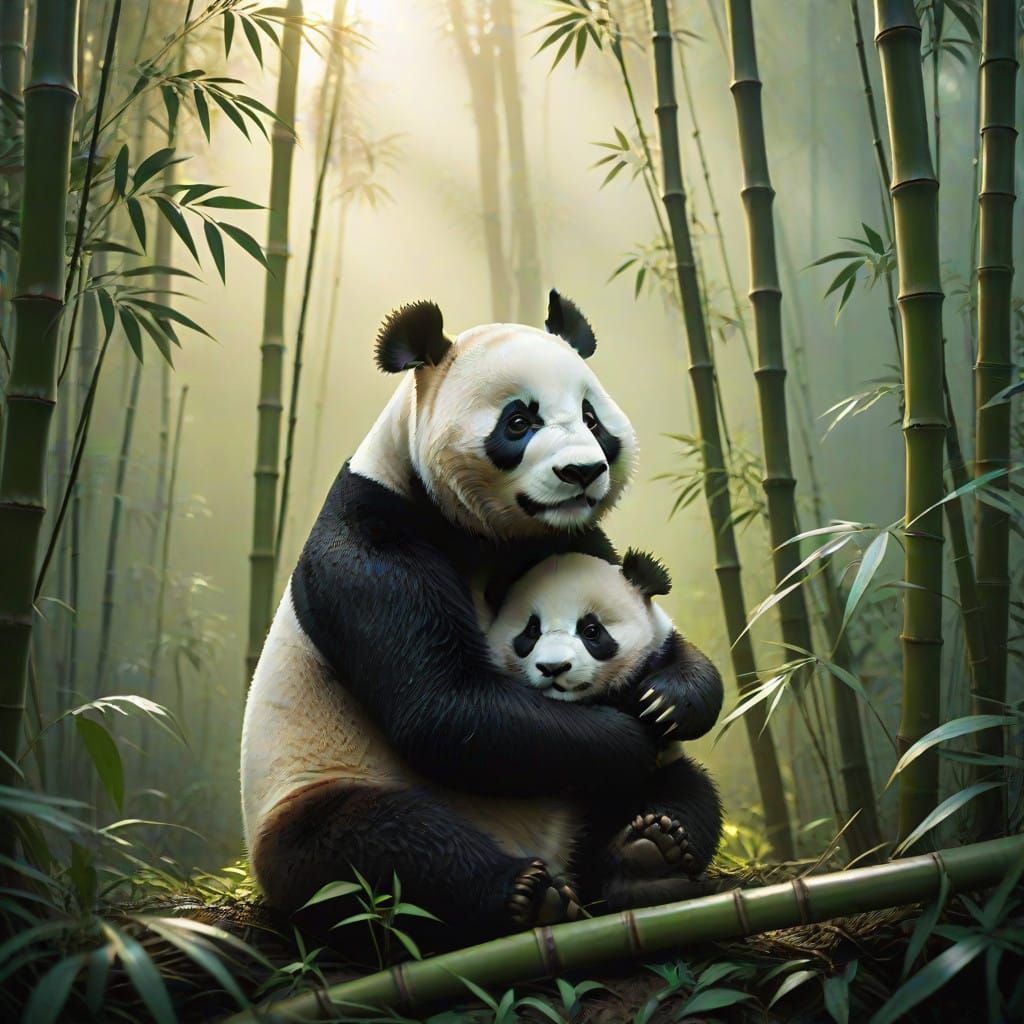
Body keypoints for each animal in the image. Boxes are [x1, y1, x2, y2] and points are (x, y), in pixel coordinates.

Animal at [241, 292, 724, 949]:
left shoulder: (572, 539)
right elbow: (446, 709)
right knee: (379, 852)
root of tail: (553, 849)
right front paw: (630, 721)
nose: (583, 472)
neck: (476, 532)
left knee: (683, 790)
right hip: (313, 789)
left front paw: (669, 699)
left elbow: (648, 617)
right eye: (519, 422)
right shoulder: (369, 545)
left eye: (591, 418)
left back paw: (649, 856)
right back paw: (526, 894)